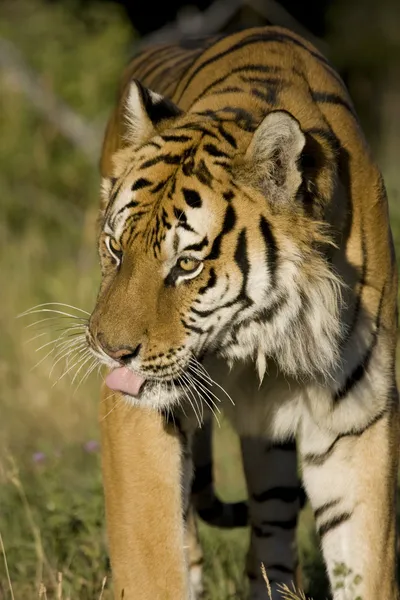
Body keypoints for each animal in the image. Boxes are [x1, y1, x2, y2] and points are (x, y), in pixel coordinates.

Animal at [88, 25, 400, 596]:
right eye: (116, 248)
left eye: (187, 264)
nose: (107, 350)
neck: (261, 337)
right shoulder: (135, 410)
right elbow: (151, 559)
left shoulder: (354, 418)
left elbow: (365, 562)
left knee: (271, 531)